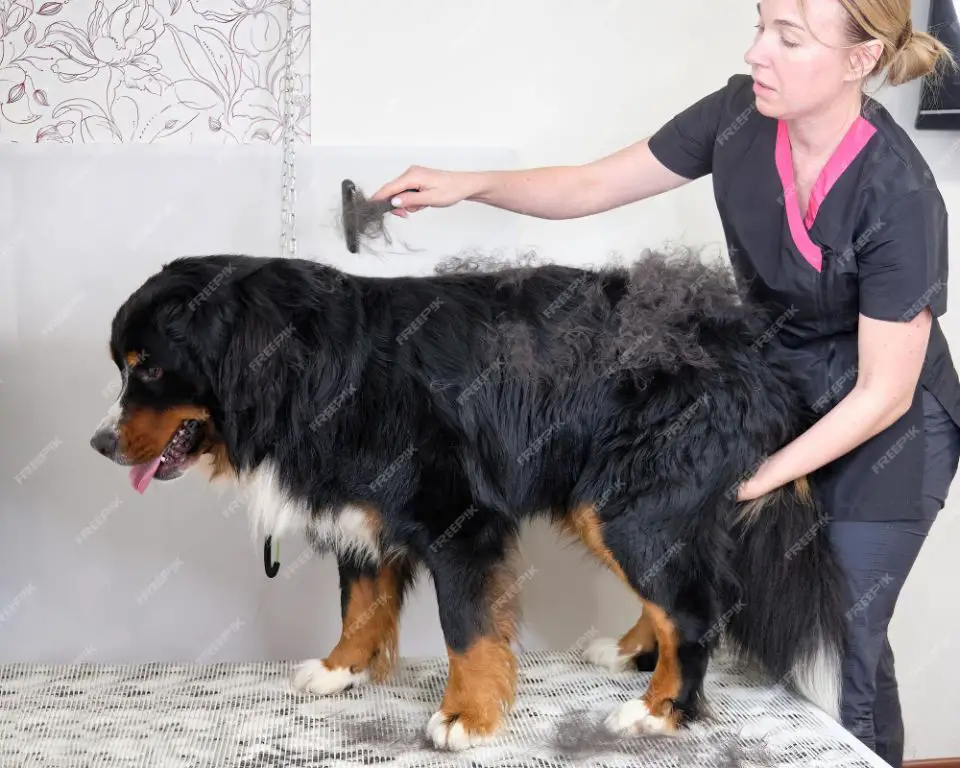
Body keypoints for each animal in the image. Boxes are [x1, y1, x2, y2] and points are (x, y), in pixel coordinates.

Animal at [90, 250, 848, 752]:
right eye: (122, 367)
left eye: (148, 368)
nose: (99, 442)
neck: (309, 370)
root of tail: (748, 348)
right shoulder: (358, 509)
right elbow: (360, 604)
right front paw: (339, 670)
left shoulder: (457, 519)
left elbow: (465, 629)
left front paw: (466, 717)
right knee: (673, 597)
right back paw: (632, 653)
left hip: (630, 503)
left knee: (691, 609)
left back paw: (658, 710)